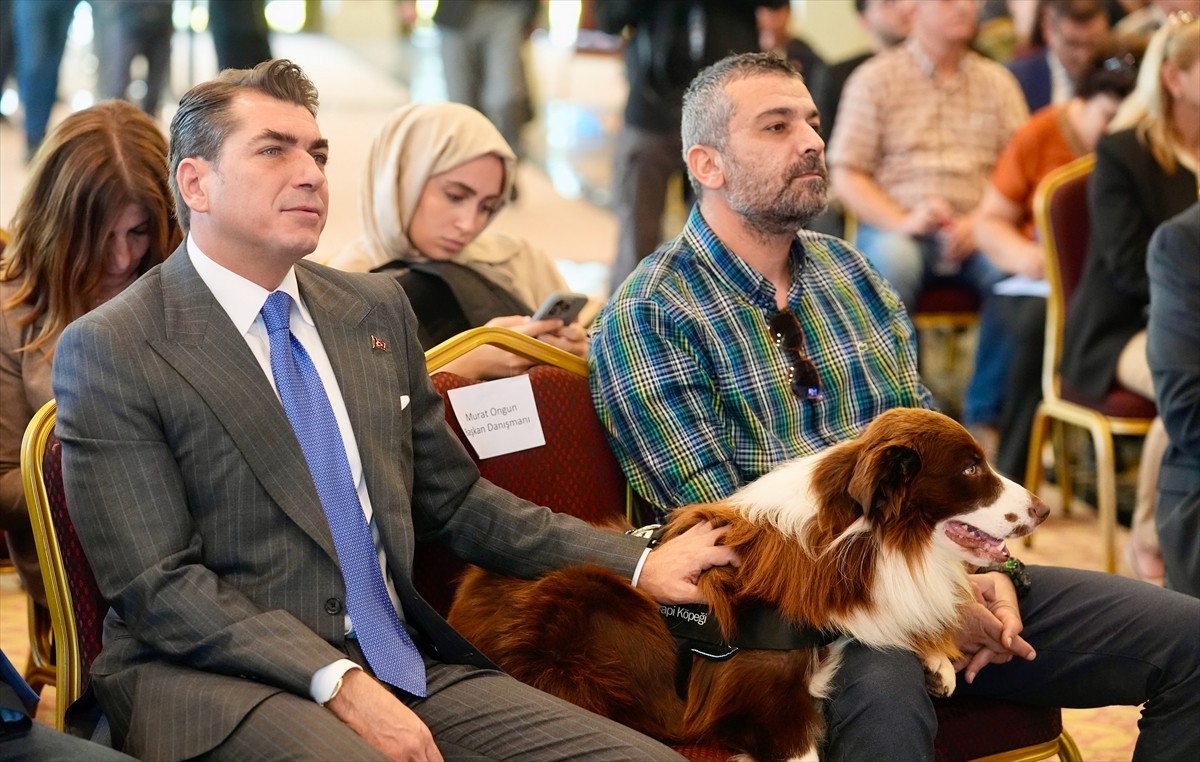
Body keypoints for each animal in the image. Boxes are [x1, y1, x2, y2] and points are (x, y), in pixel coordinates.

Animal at [446, 410, 1046, 762]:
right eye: (970, 470)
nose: (1042, 510)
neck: (857, 540)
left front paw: (938, 656)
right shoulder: (764, 701)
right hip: (591, 592)